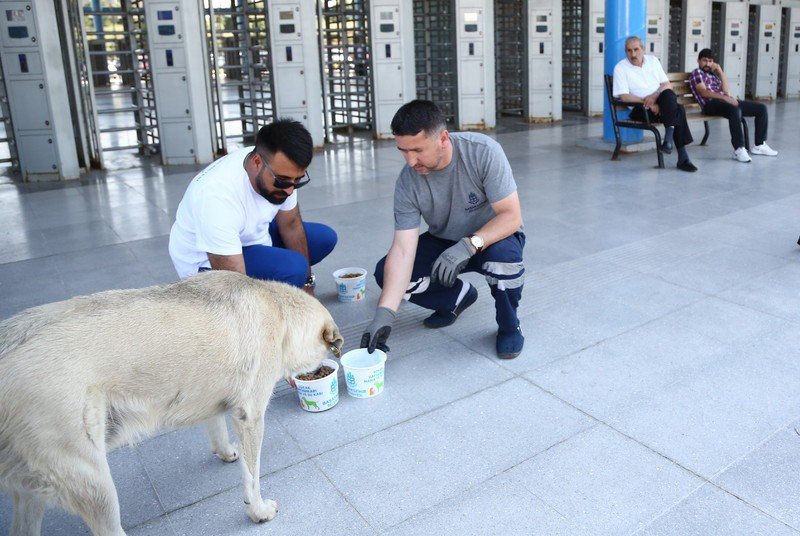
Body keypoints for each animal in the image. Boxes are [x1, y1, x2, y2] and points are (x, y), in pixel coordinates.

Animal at [0, 272, 340, 536]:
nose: (315, 373)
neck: (278, 308)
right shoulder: (251, 415)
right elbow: (252, 476)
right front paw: (258, 511)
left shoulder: (214, 398)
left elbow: (216, 427)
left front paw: (226, 452)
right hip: (94, 483)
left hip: (32, 491)